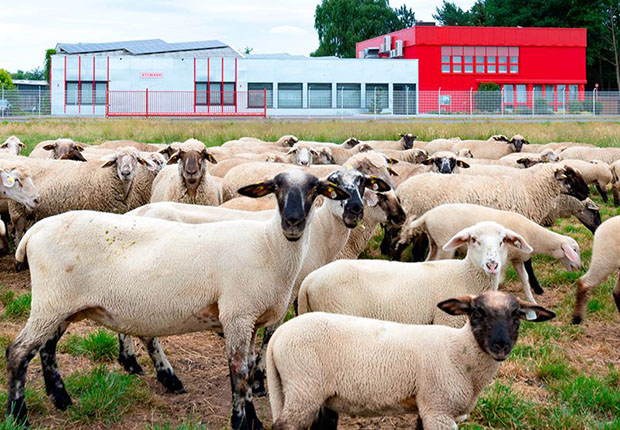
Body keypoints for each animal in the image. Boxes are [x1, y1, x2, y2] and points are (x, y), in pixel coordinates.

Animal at [4, 170, 352, 428]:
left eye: (315, 189)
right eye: (276, 187)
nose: (292, 222)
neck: (267, 245)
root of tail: (33, 233)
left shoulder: (253, 319)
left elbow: (252, 366)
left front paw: (251, 416)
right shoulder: (237, 314)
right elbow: (238, 372)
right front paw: (242, 421)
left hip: (63, 305)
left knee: (46, 348)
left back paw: (61, 399)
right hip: (52, 302)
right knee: (18, 352)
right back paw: (17, 414)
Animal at [268, 290, 556, 428]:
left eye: (517, 316)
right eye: (476, 313)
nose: (501, 346)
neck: (459, 352)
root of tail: (279, 335)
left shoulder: (427, 405)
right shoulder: (439, 409)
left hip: (315, 395)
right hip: (304, 388)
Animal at [300, 222, 532, 326]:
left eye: (502, 241)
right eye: (474, 240)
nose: (492, 265)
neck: (465, 276)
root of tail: (309, 281)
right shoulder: (445, 322)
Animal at [398, 204, 580, 302]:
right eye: (574, 250)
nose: (579, 267)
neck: (534, 236)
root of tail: (427, 216)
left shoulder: (517, 259)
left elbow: (525, 280)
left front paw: (532, 300)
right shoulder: (505, 260)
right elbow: (500, 279)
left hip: (435, 243)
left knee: (428, 261)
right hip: (444, 244)